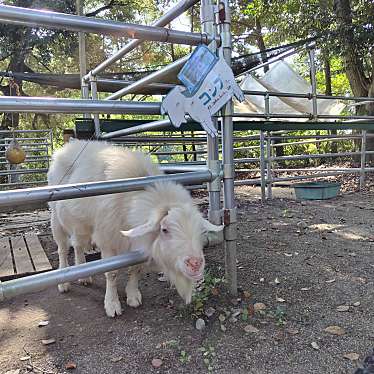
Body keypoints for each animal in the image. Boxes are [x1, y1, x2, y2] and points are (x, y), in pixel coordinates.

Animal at [46, 142, 222, 318]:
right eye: (164, 230)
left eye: (201, 231)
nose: (195, 264)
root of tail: (67, 146)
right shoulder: (107, 239)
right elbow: (111, 273)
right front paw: (112, 303)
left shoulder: (138, 243)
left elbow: (136, 269)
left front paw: (132, 295)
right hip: (56, 218)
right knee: (62, 248)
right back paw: (63, 282)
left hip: (80, 224)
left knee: (77, 245)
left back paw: (84, 275)